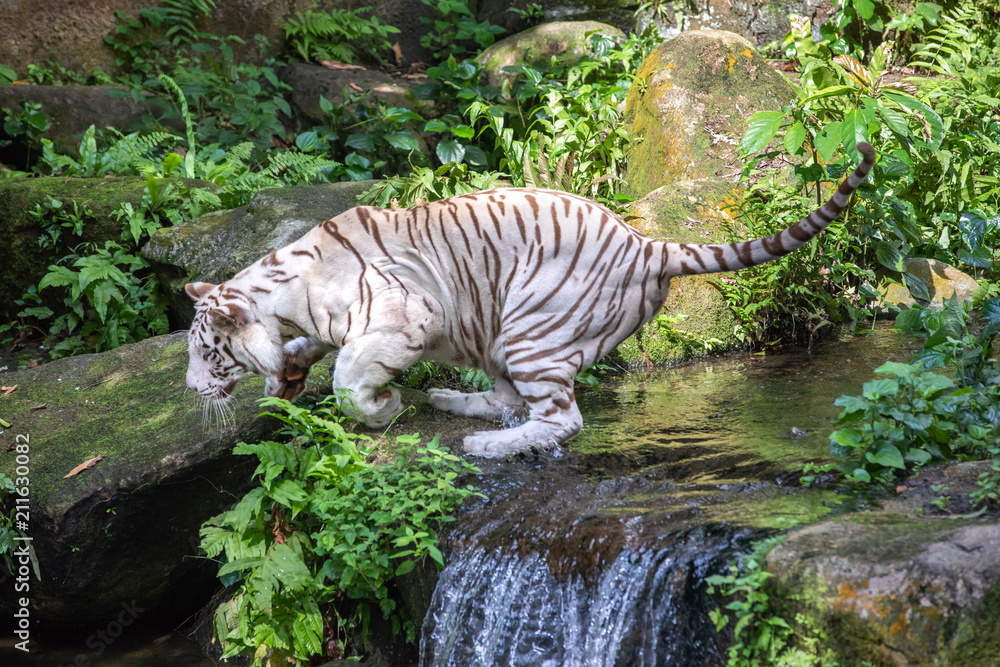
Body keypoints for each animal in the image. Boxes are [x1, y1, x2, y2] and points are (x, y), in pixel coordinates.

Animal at [186, 143, 876, 456]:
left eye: (207, 353)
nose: (192, 390)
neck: (283, 290)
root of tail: (647, 245)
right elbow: (310, 349)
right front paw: (285, 375)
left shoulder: (404, 317)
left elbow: (350, 375)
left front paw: (381, 410)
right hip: (497, 332)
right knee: (509, 399)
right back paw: (452, 401)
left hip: (530, 328)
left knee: (558, 420)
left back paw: (484, 443)